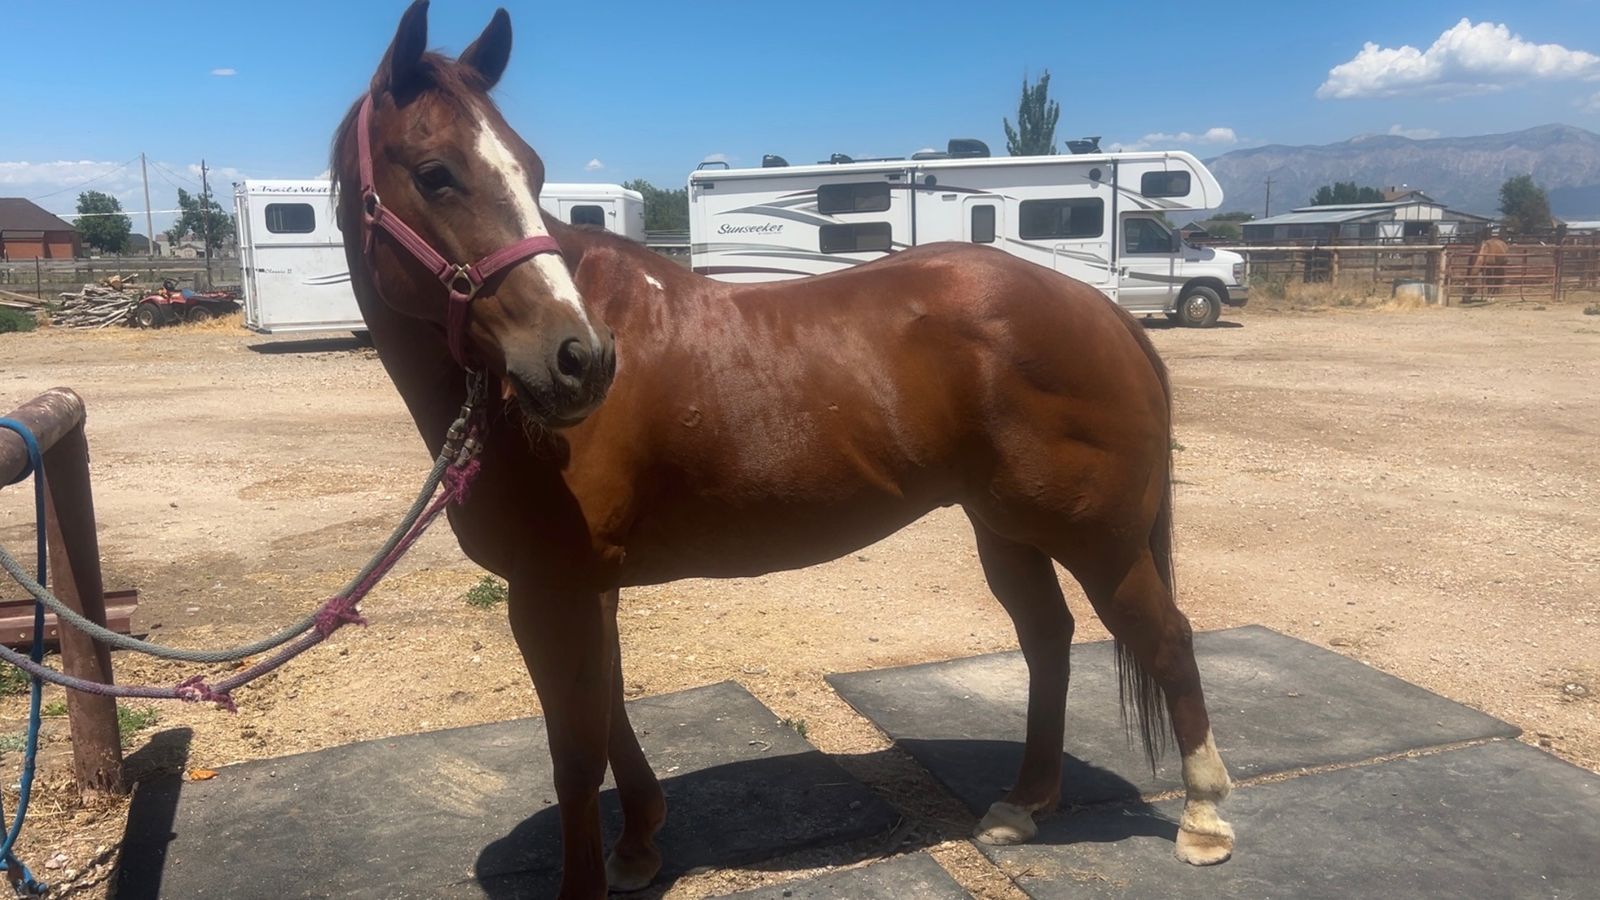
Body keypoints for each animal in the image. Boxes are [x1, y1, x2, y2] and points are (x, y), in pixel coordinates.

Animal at [331, 3, 1233, 896]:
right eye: (436, 172)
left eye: (531, 169)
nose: (580, 359)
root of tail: (1097, 308)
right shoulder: (587, 584)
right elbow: (612, 707)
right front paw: (641, 841)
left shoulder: (551, 589)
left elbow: (576, 754)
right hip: (1006, 529)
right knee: (1047, 637)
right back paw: (1024, 804)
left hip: (1098, 540)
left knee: (1165, 637)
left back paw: (1203, 820)